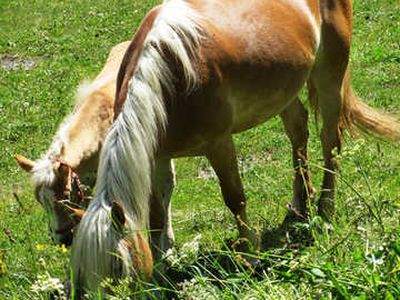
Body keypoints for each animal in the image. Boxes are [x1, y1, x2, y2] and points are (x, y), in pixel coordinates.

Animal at [70, 0, 398, 296]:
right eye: (82, 276)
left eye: (117, 267)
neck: (167, 77)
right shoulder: (157, 156)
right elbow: (156, 218)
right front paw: (161, 273)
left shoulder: (219, 144)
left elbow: (235, 198)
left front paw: (251, 255)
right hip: (284, 89)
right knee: (298, 131)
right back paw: (300, 202)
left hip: (329, 76)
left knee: (330, 144)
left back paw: (325, 210)